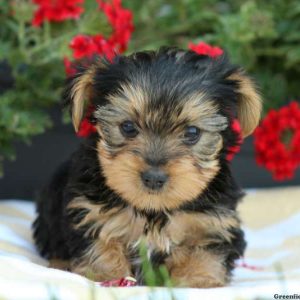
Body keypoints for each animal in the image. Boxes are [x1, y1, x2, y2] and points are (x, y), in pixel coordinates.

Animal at [32, 47, 260, 288]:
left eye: (192, 132)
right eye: (127, 127)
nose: (154, 177)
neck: (153, 210)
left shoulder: (213, 224)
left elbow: (205, 255)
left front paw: (197, 281)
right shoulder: (89, 212)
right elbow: (100, 249)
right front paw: (107, 275)